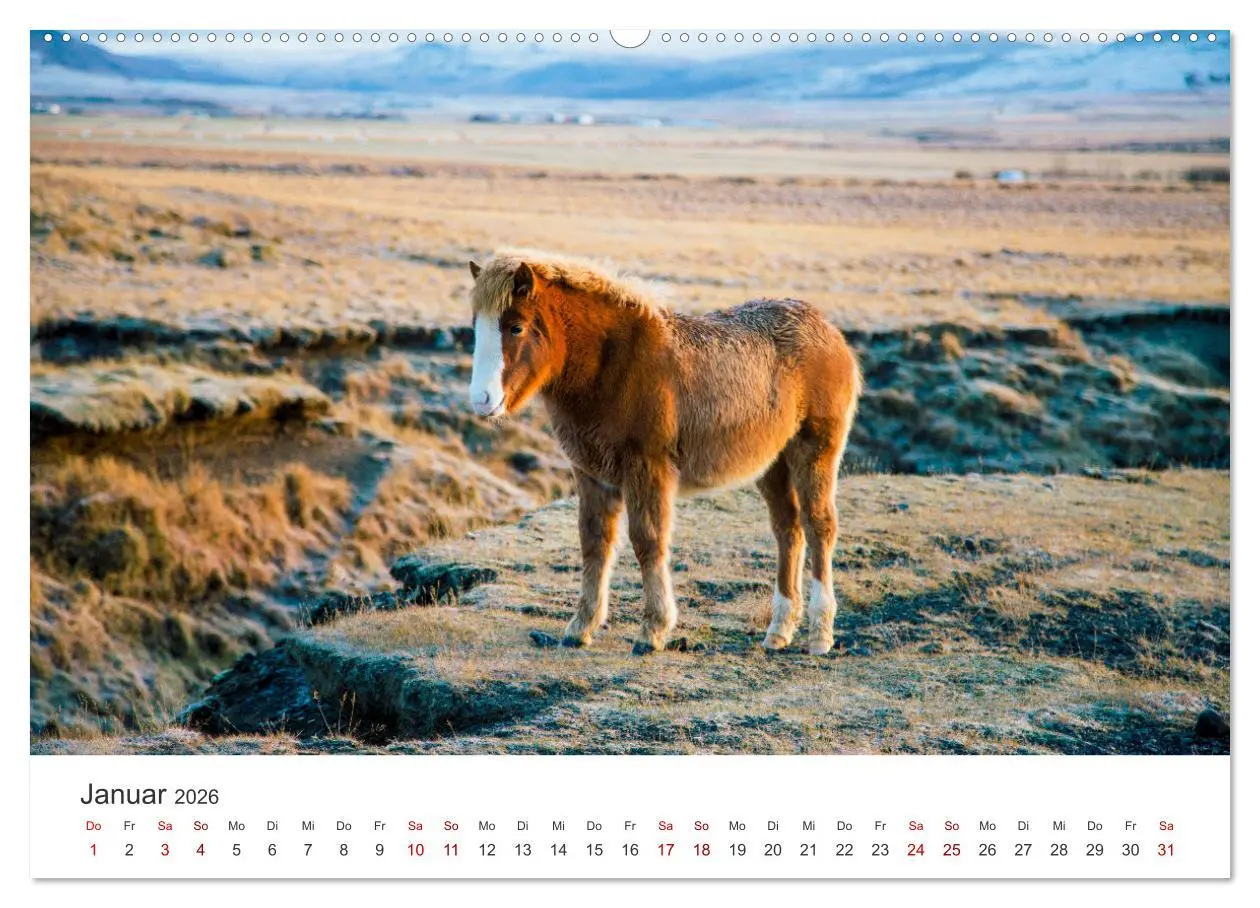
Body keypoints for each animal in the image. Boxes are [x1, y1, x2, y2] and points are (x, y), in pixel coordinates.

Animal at [467, 250, 862, 656]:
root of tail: (829, 331)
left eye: (515, 327)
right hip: (773, 463)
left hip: (815, 452)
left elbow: (648, 541)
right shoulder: (590, 474)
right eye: (476, 327)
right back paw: (779, 631)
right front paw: (580, 627)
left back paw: (820, 634)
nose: (481, 400)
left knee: (819, 526)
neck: (610, 364)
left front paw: (653, 631)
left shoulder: (646, 468)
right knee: (788, 529)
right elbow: (594, 543)